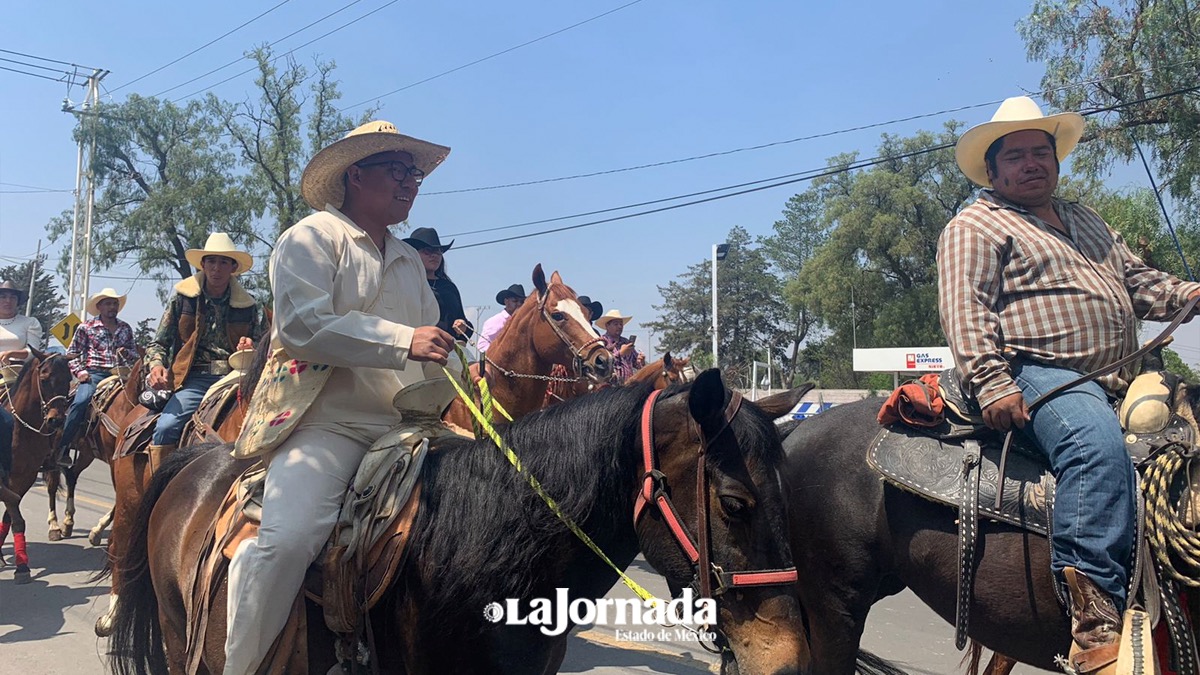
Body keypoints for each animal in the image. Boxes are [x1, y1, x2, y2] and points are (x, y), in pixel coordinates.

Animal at [0, 348, 72, 581]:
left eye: (68, 379)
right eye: (44, 378)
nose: (56, 420)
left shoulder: (25, 477)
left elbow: (13, 517)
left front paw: (21, 565)